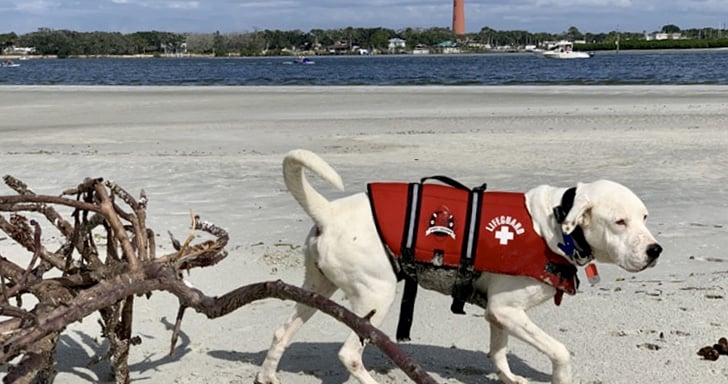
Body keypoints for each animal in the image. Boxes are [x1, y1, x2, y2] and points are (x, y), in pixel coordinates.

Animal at [258, 149, 664, 384]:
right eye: (619, 222)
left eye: (644, 217)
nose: (655, 250)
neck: (556, 224)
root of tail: (329, 212)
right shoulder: (509, 311)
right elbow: (560, 352)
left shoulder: (498, 314)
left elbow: (498, 353)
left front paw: (510, 379)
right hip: (375, 299)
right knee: (349, 355)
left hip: (317, 290)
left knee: (280, 333)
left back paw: (266, 376)